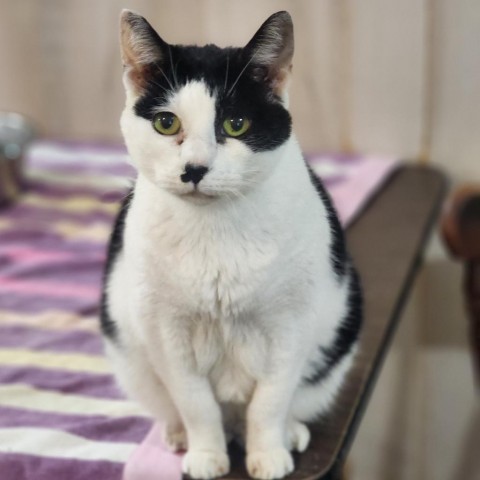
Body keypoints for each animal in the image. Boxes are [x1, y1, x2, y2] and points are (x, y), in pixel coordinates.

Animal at [102, 8, 364, 480]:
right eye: (166, 123)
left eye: (235, 124)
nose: (194, 169)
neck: (215, 230)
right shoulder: (165, 331)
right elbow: (196, 403)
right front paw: (207, 455)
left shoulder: (291, 325)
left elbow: (269, 402)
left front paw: (269, 455)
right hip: (129, 354)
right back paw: (181, 435)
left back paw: (288, 433)